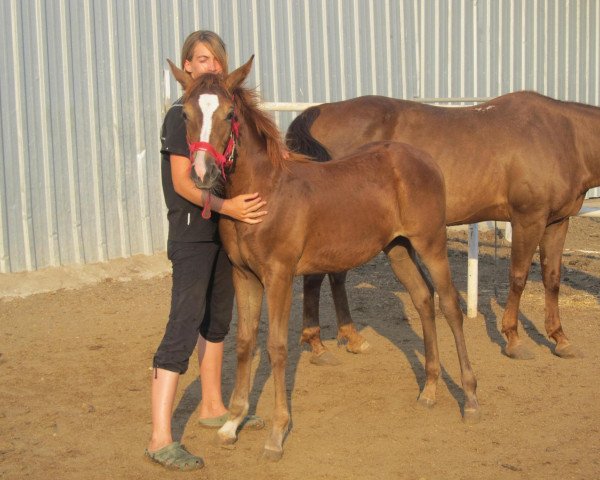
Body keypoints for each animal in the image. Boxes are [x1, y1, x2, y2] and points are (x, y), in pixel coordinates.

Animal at [168, 58, 478, 460]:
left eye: (229, 113)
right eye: (186, 113)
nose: (202, 173)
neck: (265, 193)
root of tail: (424, 159)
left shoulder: (280, 276)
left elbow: (277, 347)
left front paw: (276, 434)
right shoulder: (244, 276)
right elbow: (245, 343)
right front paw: (232, 423)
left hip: (431, 244)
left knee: (451, 306)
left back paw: (469, 398)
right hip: (398, 248)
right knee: (423, 298)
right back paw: (429, 389)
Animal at [288, 93, 600, 360]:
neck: (559, 135)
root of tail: (321, 111)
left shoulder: (557, 222)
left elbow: (552, 277)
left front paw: (560, 339)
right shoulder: (528, 219)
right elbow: (519, 277)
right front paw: (513, 339)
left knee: (334, 277)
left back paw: (351, 338)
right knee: (317, 278)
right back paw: (318, 345)